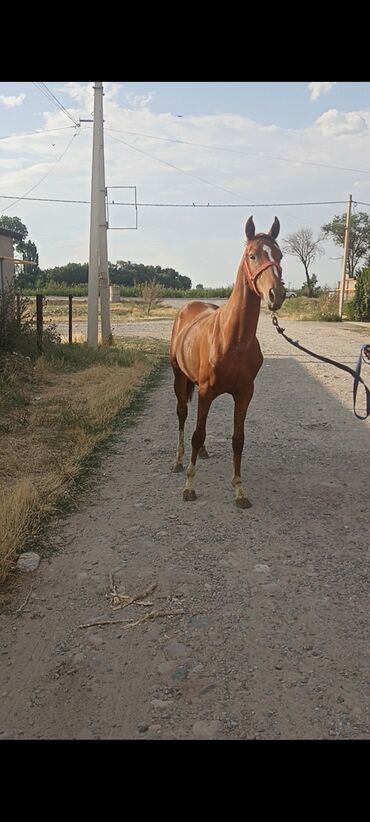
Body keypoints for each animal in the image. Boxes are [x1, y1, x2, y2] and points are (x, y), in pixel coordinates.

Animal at [170, 214, 286, 508]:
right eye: (252, 255)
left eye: (280, 255)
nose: (276, 295)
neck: (232, 339)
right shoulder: (205, 391)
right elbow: (196, 434)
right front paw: (189, 486)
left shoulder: (244, 393)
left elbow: (237, 439)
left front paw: (239, 490)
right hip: (180, 379)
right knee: (183, 415)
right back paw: (178, 461)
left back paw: (203, 453)